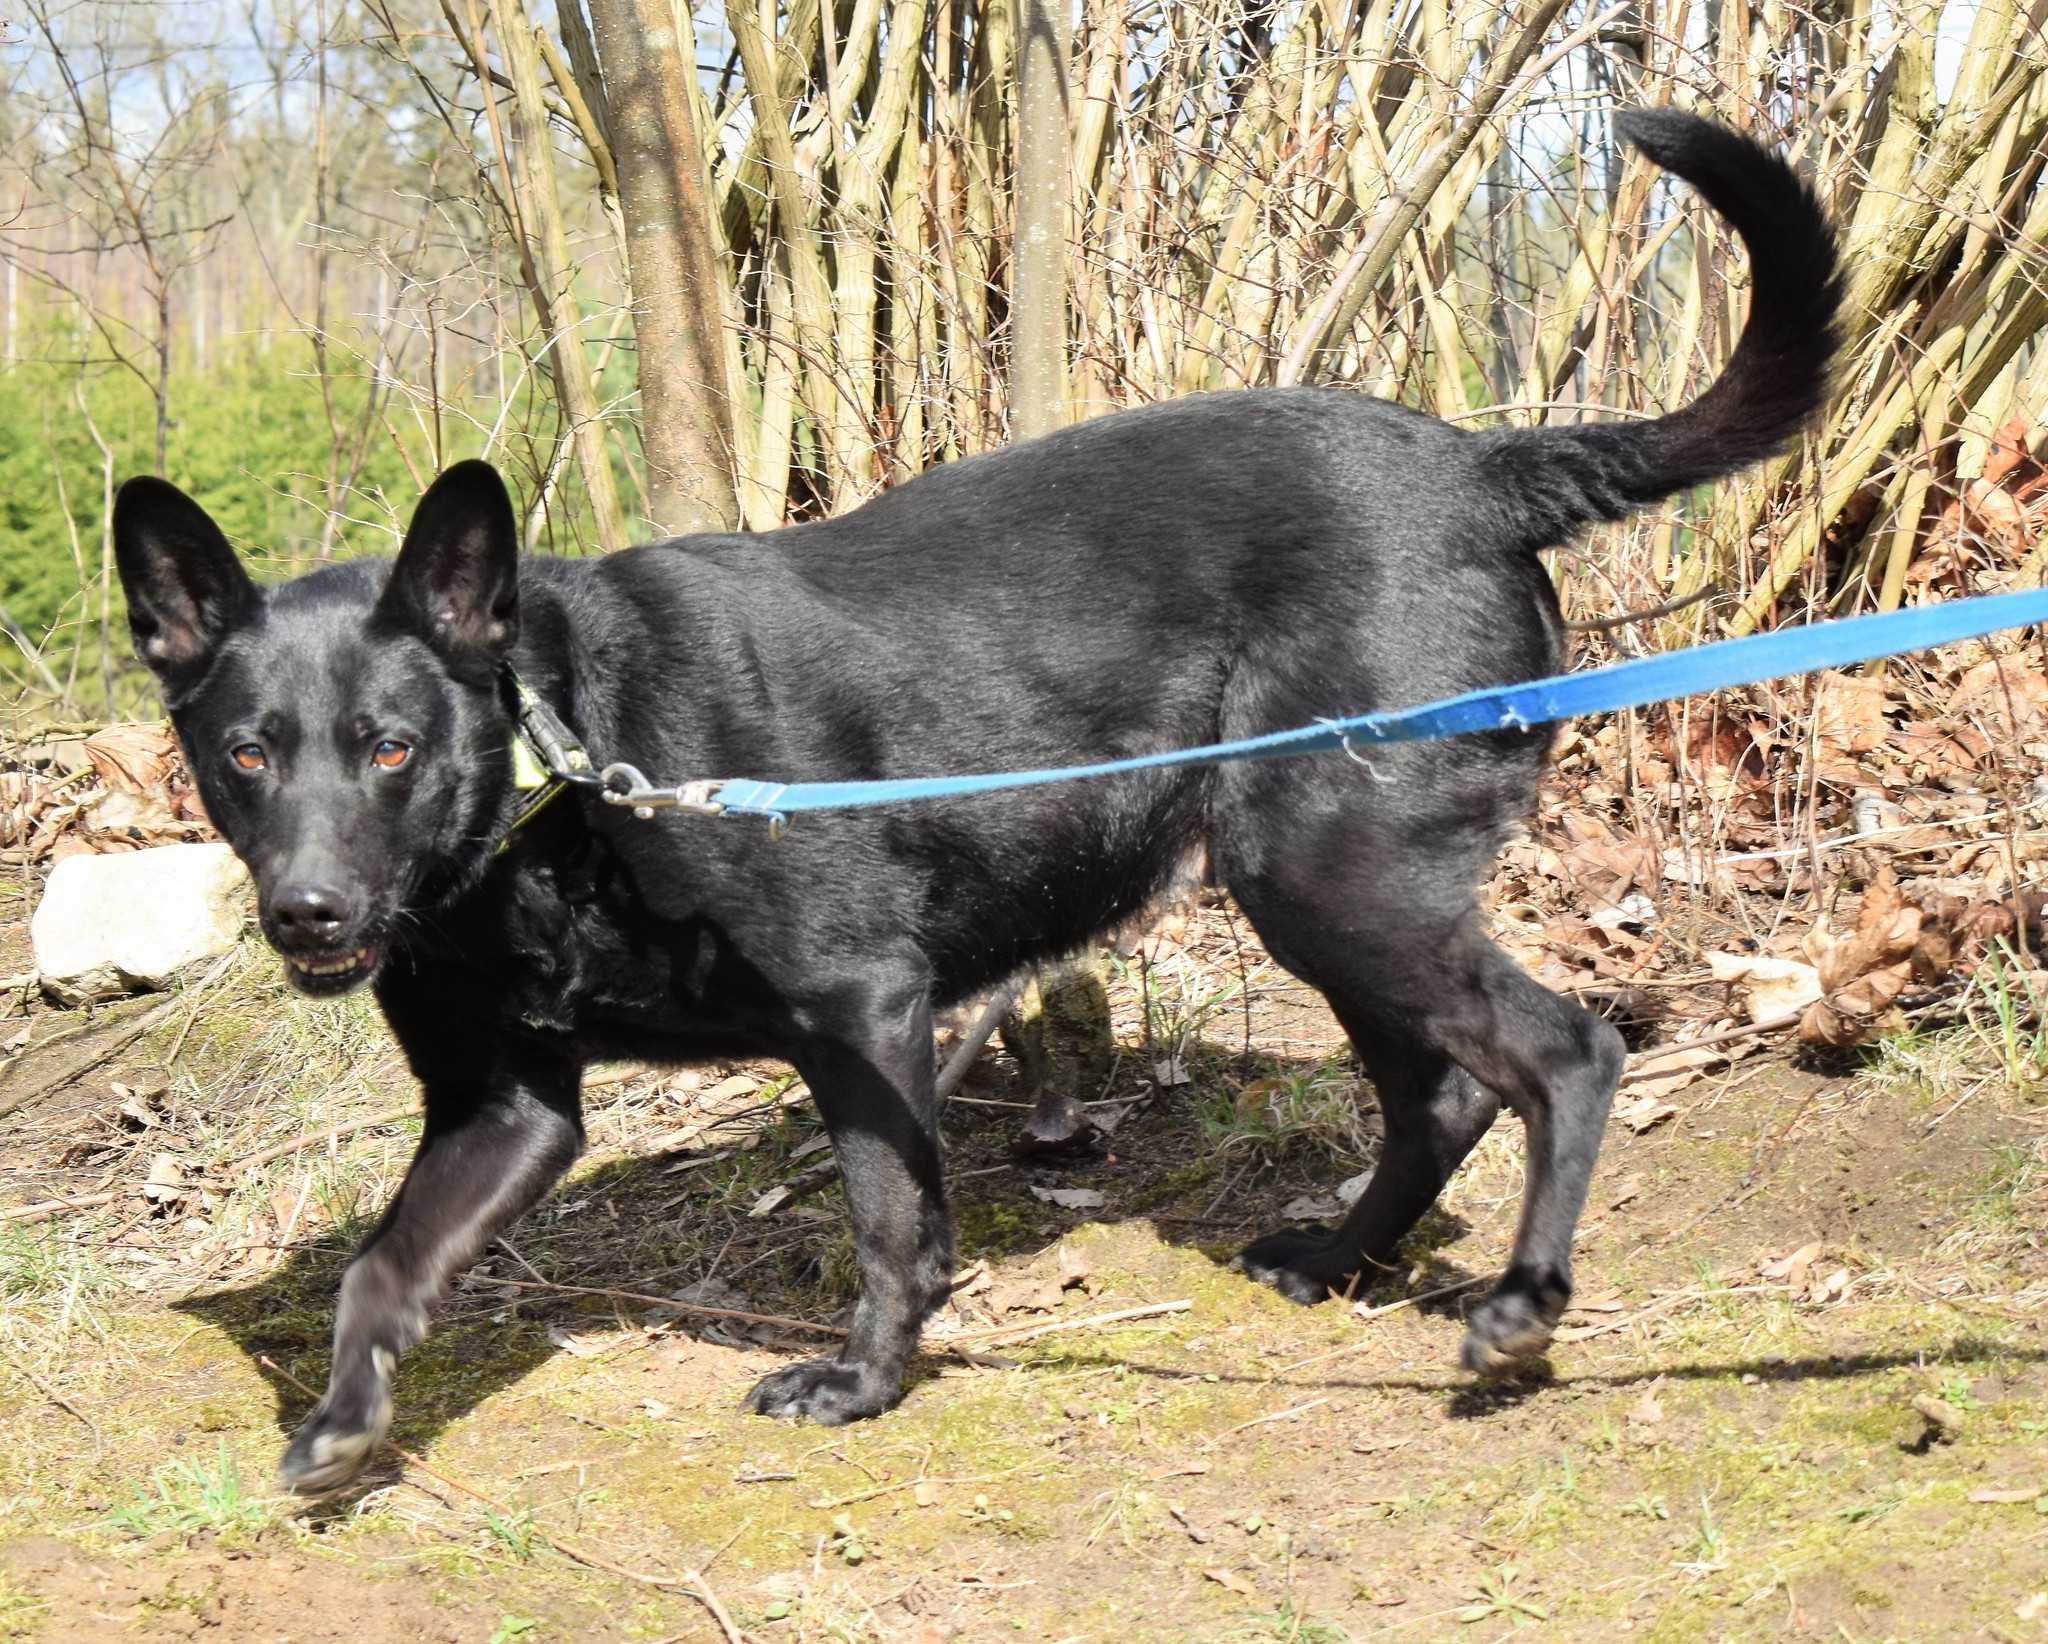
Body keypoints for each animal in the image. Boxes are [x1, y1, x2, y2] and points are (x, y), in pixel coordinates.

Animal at [108, 109, 1843, 1498]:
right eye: (245, 754)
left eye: (392, 746)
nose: (310, 915)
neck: (561, 762)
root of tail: (1482, 470)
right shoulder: (508, 1107)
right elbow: (378, 1269)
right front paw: (341, 1425)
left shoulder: (861, 1009)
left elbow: (893, 1226)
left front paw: (865, 1385)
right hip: (1335, 893)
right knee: (1448, 1096)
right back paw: (1344, 1259)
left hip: (1334, 878)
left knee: (1567, 1052)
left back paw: (1522, 1307)